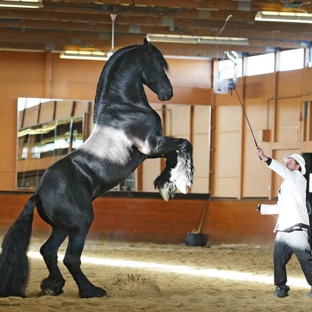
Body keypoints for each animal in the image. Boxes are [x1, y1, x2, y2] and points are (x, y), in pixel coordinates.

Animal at [0, 38, 193, 298]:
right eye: (157, 63)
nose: (168, 93)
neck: (124, 108)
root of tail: (39, 193)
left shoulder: (153, 149)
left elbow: (175, 153)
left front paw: (166, 184)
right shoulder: (152, 146)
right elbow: (184, 144)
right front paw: (179, 181)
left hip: (62, 228)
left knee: (48, 251)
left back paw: (54, 286)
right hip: (81, 224)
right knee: (70, 258)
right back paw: (90, 290)